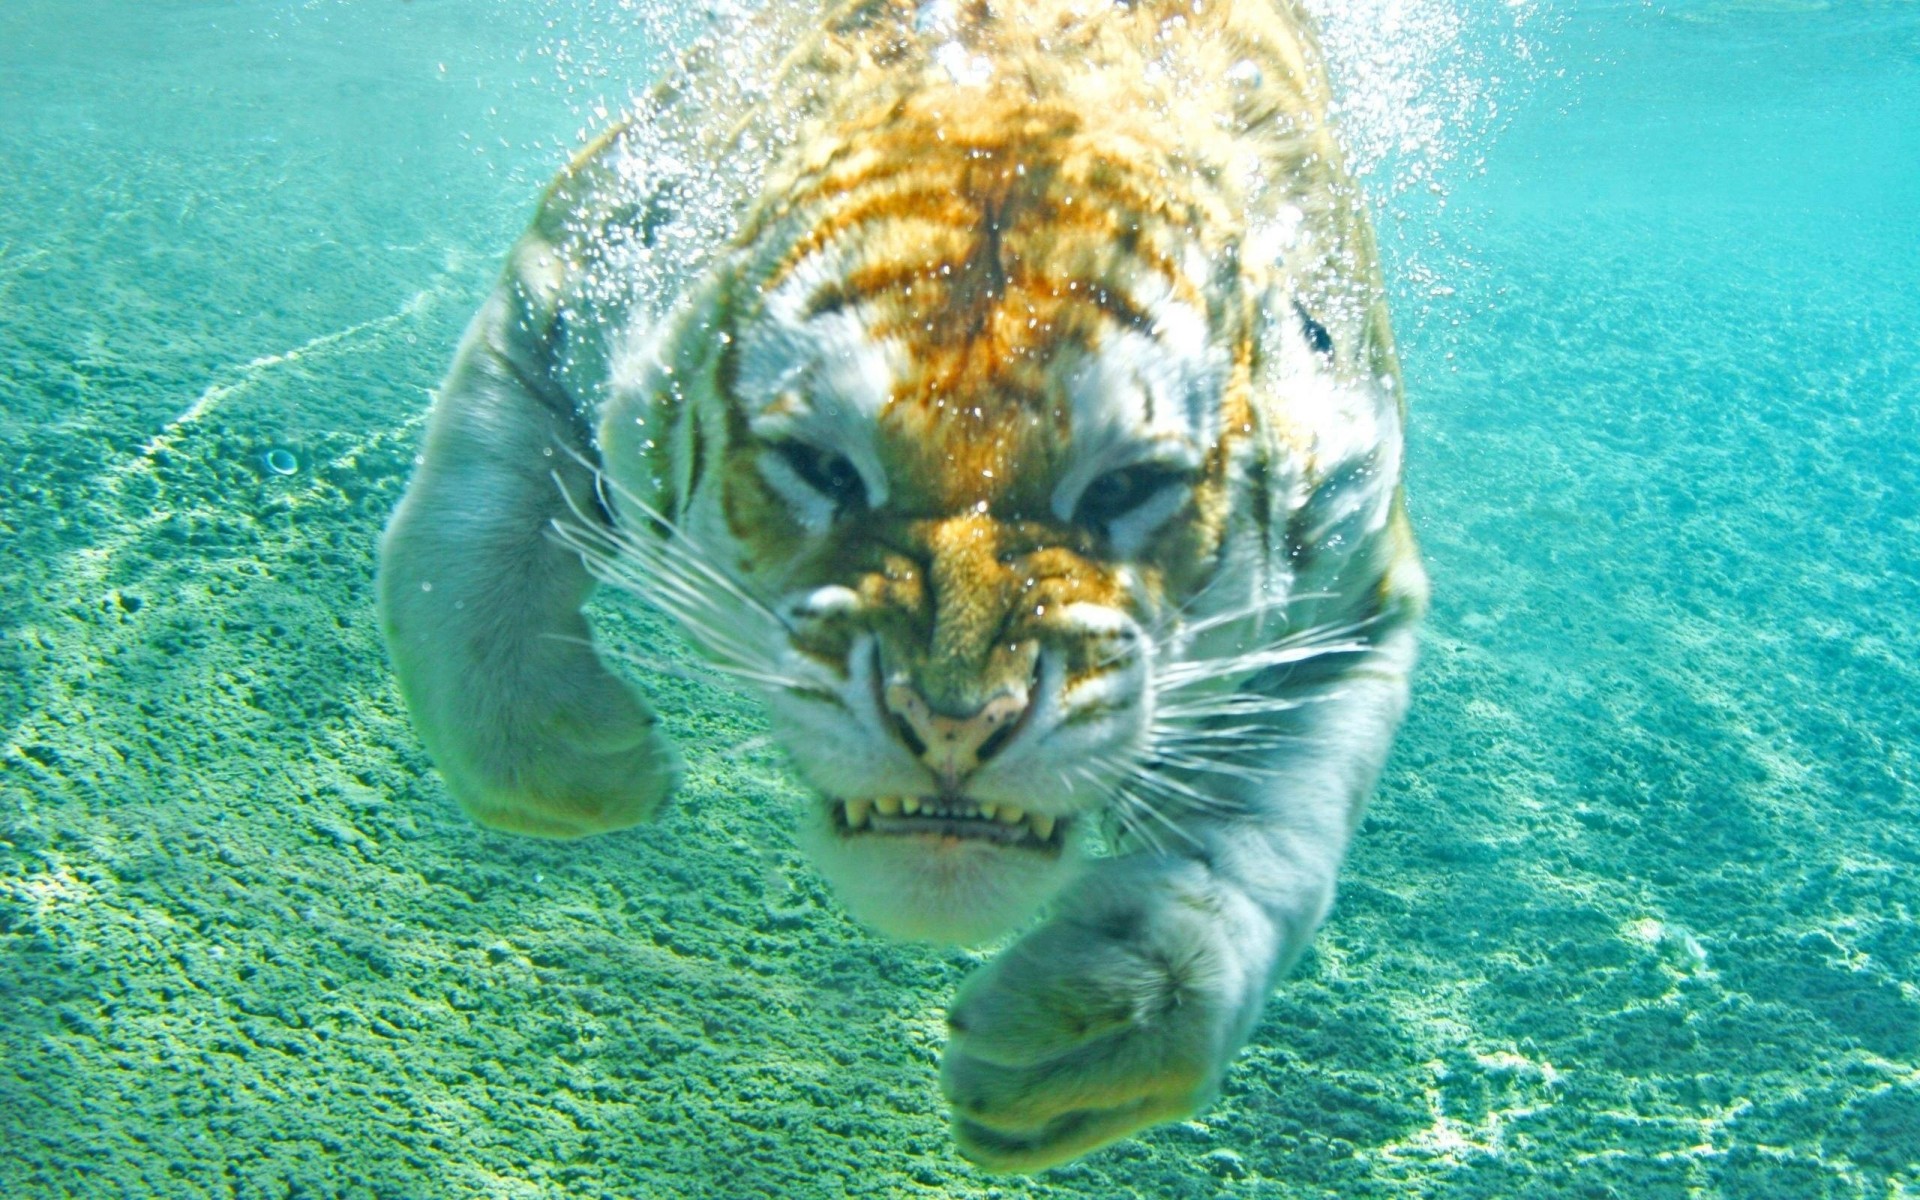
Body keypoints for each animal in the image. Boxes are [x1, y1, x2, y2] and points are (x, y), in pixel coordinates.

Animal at [378, 0, 1427, 1172]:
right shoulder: (561, 297)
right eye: (826, 470)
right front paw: (595, 767)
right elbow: (451, 560)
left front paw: (1087, 1040)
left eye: (1124, 487)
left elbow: (1274, 848)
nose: (955, 723)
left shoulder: (1360, 581)